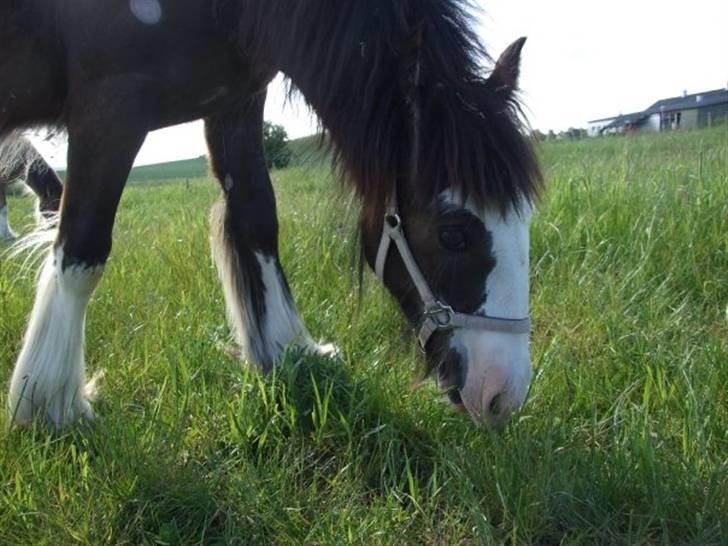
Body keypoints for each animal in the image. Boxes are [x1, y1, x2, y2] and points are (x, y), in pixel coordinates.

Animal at [2, 0, 540, 428]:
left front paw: (289, 349)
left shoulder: (235, 102)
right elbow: (82, 249)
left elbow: (258, 218)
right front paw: (49, 403)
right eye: (454, 234)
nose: (503, 395)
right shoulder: (109, 107)